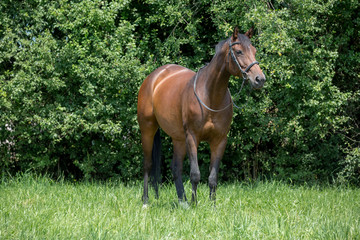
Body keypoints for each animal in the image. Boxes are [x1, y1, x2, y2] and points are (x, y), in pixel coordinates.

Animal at [136, 27, 266, 205]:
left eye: (254, 51)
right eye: (239, 51)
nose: (259, 79)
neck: (210, 96)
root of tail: (154, 77)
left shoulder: (219, 140)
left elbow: (213, 177)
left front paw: (212, 206)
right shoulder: (192, 137)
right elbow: (195, 174)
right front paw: (194, 204)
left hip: (178, 139)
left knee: (176, 168)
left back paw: (182, 201)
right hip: (148, 130)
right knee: (148, 165)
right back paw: (146, 201)